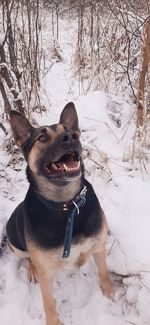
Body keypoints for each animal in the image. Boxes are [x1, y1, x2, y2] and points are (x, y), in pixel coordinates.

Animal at [6, 102, 113, 324]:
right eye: (42, 138)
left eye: (72, 132)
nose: (70, 137)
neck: (67, 205)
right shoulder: (47, 273)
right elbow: (48, 303)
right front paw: (53, 321)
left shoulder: (99, 246)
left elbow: (104, 273)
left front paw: (109, 293)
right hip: (16, 245)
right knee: (29, 258)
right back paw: (32, 270)